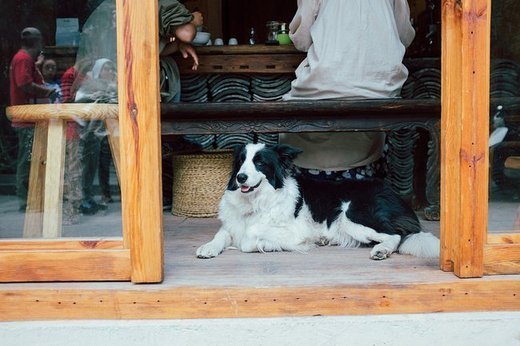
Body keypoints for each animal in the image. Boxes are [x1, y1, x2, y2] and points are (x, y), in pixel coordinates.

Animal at [196, 143, 438, 260]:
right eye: (241, 162)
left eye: (260, 163)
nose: (241, 177)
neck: (255, 201)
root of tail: (395, 195)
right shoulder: (232, 224)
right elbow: (221, 235)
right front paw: (208, 247)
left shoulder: (293, 231)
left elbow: (249, 239)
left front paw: (265, 245)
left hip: (352, 215)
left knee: (396, 235)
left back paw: (382, 250)